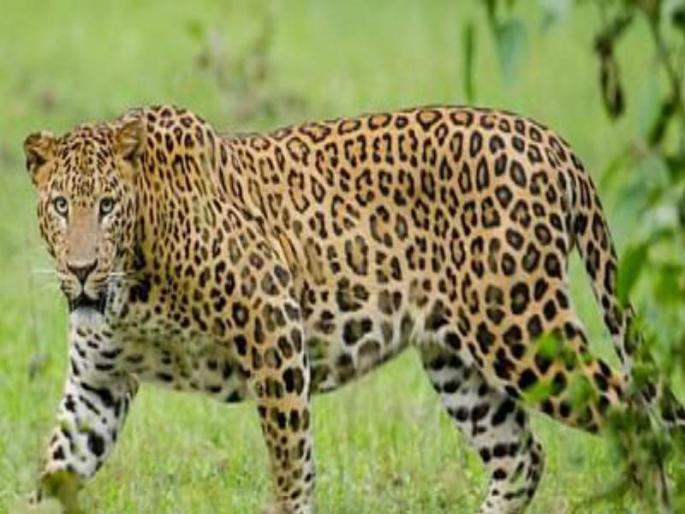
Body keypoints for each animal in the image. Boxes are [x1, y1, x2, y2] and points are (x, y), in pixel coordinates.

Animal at [22, 104, 685, 514]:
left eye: (107, 206)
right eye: (60, 205)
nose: (81, 269)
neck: (131, 285)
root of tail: (552, 141)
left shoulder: (273, 324)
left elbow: (291, 466)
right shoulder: (97, 386)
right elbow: (54, 472)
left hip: (521, 329)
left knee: (633, 414)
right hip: (456, 360)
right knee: (521, 456)